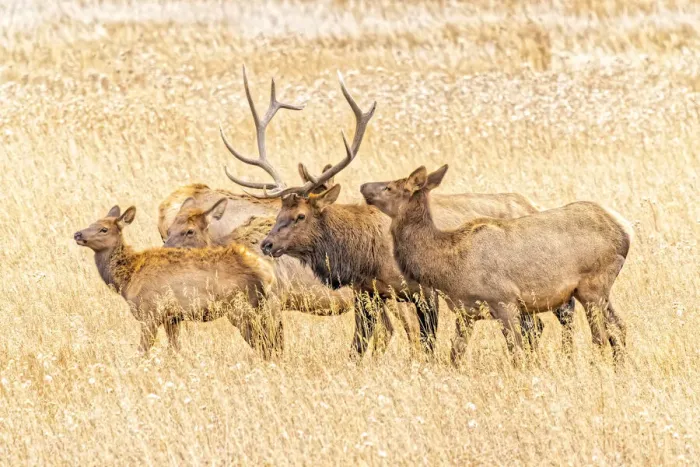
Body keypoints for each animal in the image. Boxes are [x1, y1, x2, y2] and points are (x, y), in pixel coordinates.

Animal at [74, 205, 283, 358]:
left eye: (104, 229)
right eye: (91, 223)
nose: (78, 234)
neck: (128, 278)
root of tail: (267, 273)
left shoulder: (150, 311)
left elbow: (142, 351)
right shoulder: (172, 317)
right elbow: (174, 349)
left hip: (241, 307)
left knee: (264, 344)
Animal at [226, 74, 575, 357]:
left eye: (300, 215)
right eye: (279, 210)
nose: (267, 244)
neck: (365, 255)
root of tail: (530, 204)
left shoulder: (424, 292)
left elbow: (426, 344)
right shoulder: (368, 294)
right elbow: (359, 346)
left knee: (555, 319)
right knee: (536, 328)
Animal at [360, 165, 632, 364]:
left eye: (389, 187)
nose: (363, 185)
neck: (447, 267)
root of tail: (625, 229)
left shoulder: (505, 302)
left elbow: (517, 354)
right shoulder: (466, 312)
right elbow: (454, 355)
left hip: (592, 287)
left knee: (601, 337)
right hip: (601, 292)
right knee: (619, 327)